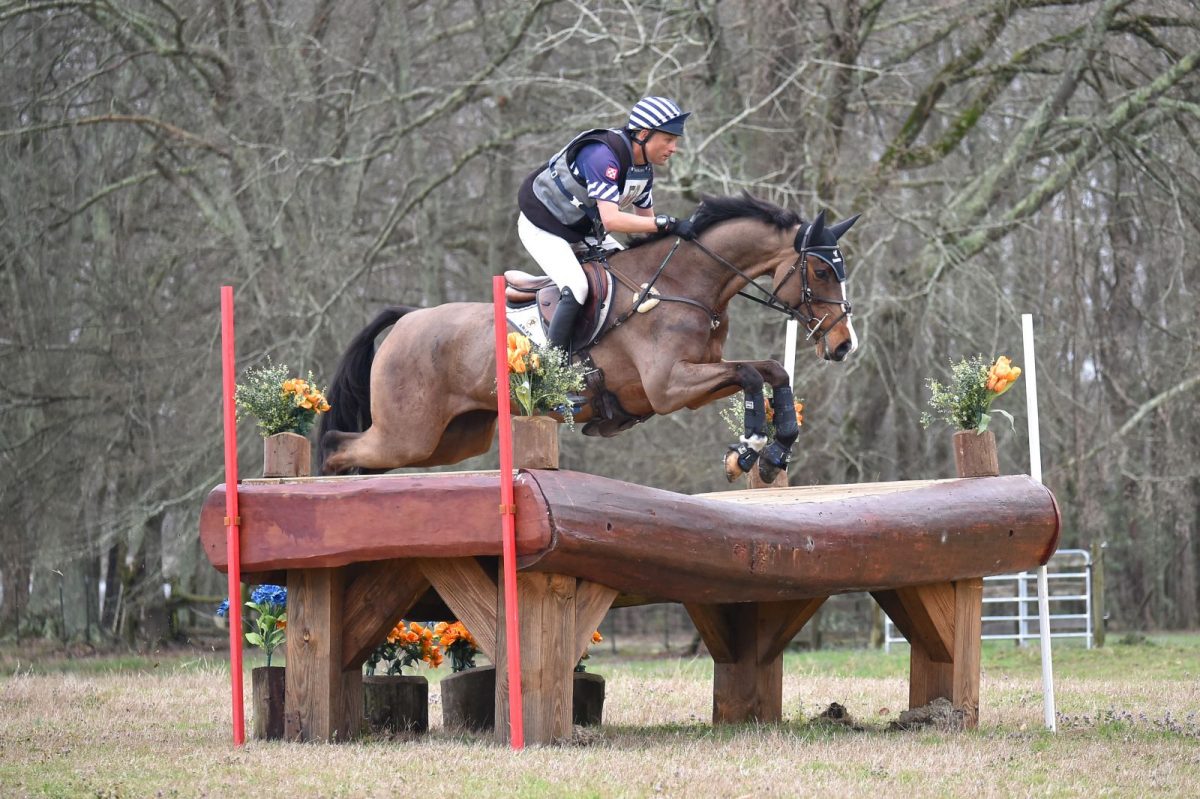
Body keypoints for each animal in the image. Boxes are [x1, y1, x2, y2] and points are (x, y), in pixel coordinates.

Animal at [319, 193, 860, 483]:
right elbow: (750, 374)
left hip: (449, 441)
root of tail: (408, 320)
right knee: (336, 446)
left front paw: (774, 453)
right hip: (407, 435)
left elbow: (772, 370)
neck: (681, 285)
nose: (843, 345)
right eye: (821, 271)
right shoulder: (670, 386)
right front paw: (746, 450)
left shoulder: (688, 384)